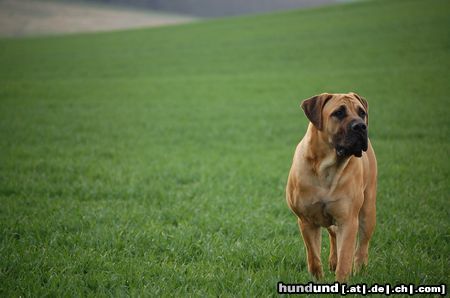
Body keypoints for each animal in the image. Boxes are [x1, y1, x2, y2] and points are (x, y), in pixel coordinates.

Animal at [286, 92, 378, 282]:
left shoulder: (348, 220)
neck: (326, 168)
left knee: (362, 247)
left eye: (362, 112)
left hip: (368, 210)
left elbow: (345, 258)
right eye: (338, 113)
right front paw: (317, 279)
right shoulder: (306, 221)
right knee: (333, 234)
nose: (361, 126)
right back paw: (333, 261)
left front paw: (342, 279)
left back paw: (359, 269)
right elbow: (313, 257)